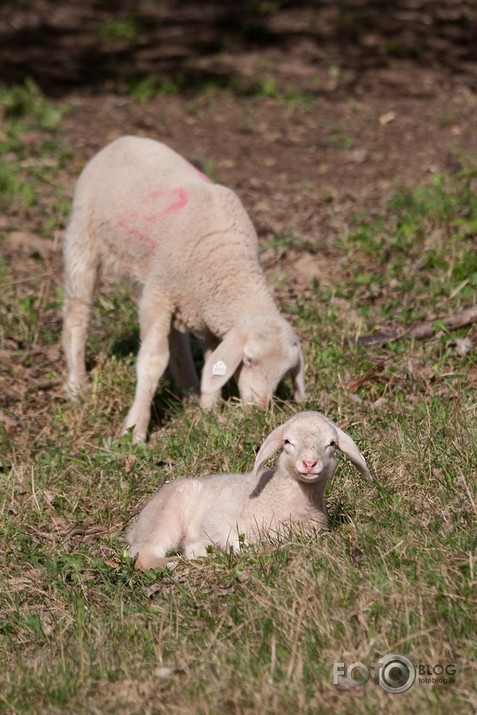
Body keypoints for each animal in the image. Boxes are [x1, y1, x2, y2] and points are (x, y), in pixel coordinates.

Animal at [62, 133, 304, 442]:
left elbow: (212, 364)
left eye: (285, 372)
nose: (259, 410)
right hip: (84, 239)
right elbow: (152, 362)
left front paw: (207, 413)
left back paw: (189, 391)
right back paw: (77, 385)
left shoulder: (206, 314)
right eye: (248, 360)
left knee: (175, 339)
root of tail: (124, 139)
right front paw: (134, 431)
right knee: (77, 313)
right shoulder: (158, 295)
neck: (229, 266)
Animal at [126, 414, 372, 572]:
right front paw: (201, 550)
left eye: (332, 444)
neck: (277, 495)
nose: (310, 463)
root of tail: (135, 526)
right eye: (287, 442)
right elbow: (233, 543)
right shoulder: (217, 517)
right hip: (165, 515)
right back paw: (170, 563)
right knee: (140, 553)